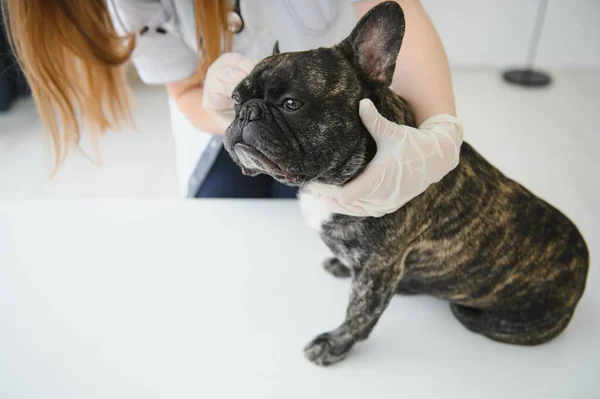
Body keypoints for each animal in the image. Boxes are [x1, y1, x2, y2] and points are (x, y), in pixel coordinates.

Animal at [223, 1, 588, 368]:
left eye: (291, 104)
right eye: (235, 100)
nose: (247, 112)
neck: (334, 180)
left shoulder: (379, 269)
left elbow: (359, 312)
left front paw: (334, 345)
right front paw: (341, 265)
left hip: (480, 316)